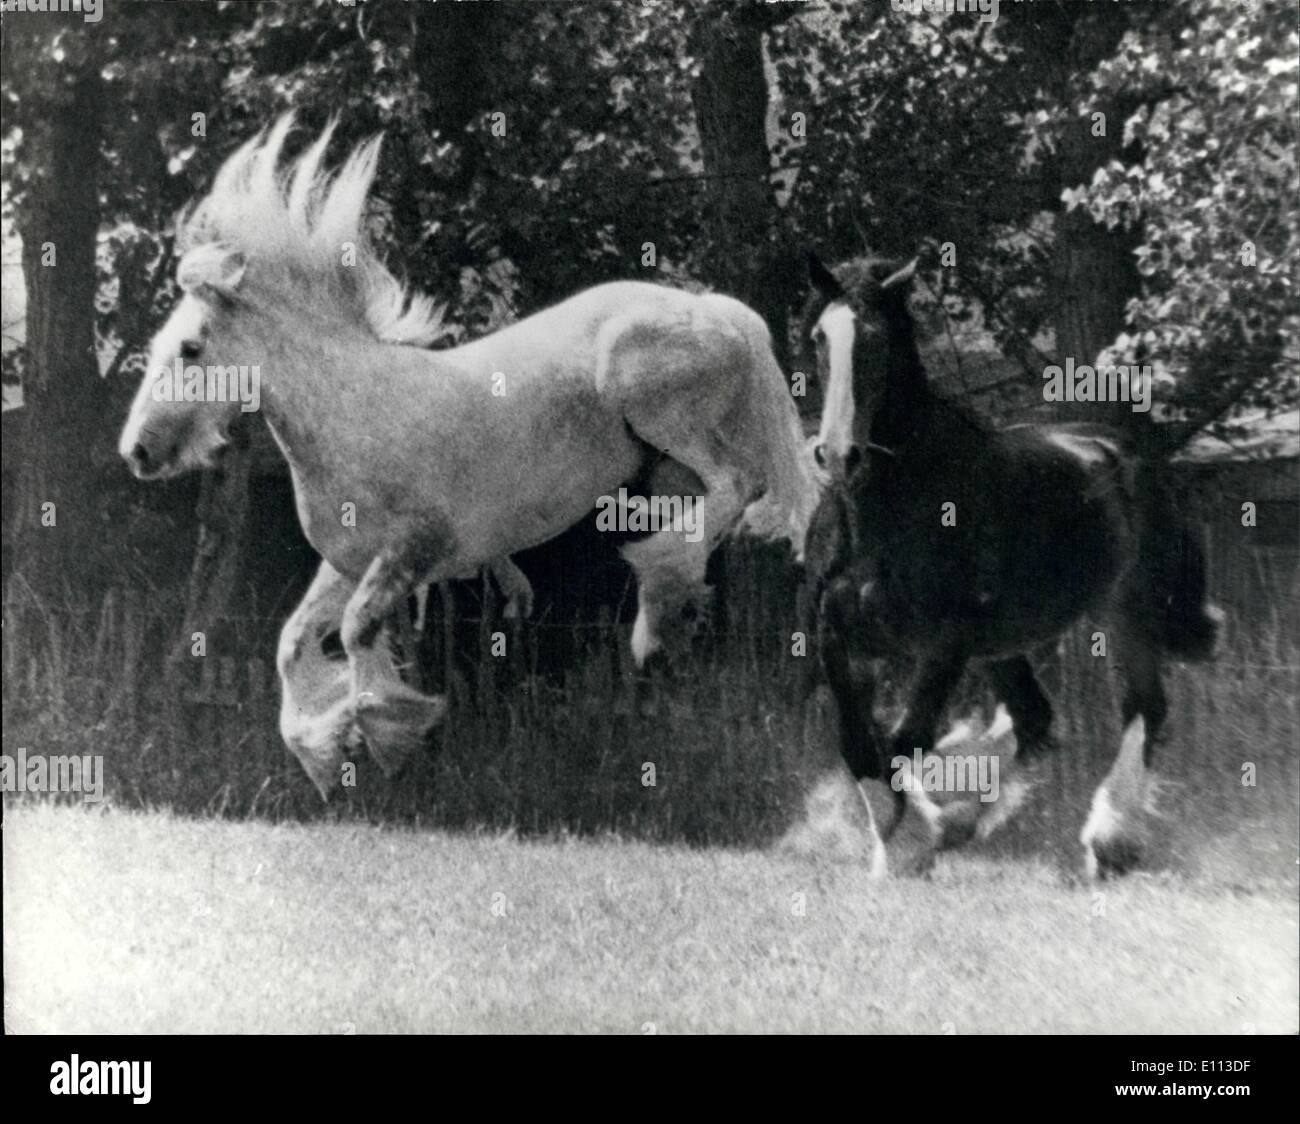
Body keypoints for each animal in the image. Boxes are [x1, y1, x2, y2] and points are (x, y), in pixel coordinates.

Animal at [119, 114, 811, 800]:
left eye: (190, 348)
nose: (137, 451)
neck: (357, 416)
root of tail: (718, 310)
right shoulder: (347, 561)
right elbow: (293, 644)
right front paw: (326, 751)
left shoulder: (415, 550)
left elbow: (356, 629)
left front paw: (388, 735)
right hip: (666, 470)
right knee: (715, 503)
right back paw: (666, 613)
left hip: (663, 414)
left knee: (739, 483)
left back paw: (658, 587)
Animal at [800, 252, 1216, 878]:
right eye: (821, 338)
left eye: (877, 339)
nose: (838, 454)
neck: (888, 508)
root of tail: (1127, 453)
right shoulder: (841, 639)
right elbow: (863, 753)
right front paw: (922, 832)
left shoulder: (943, 646)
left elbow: (902, 741)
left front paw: (912, 842)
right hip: (1003, 647)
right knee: (1035, 722)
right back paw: (972, 821)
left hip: (1128, 610)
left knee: (1144, 709)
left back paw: (1110, 840)